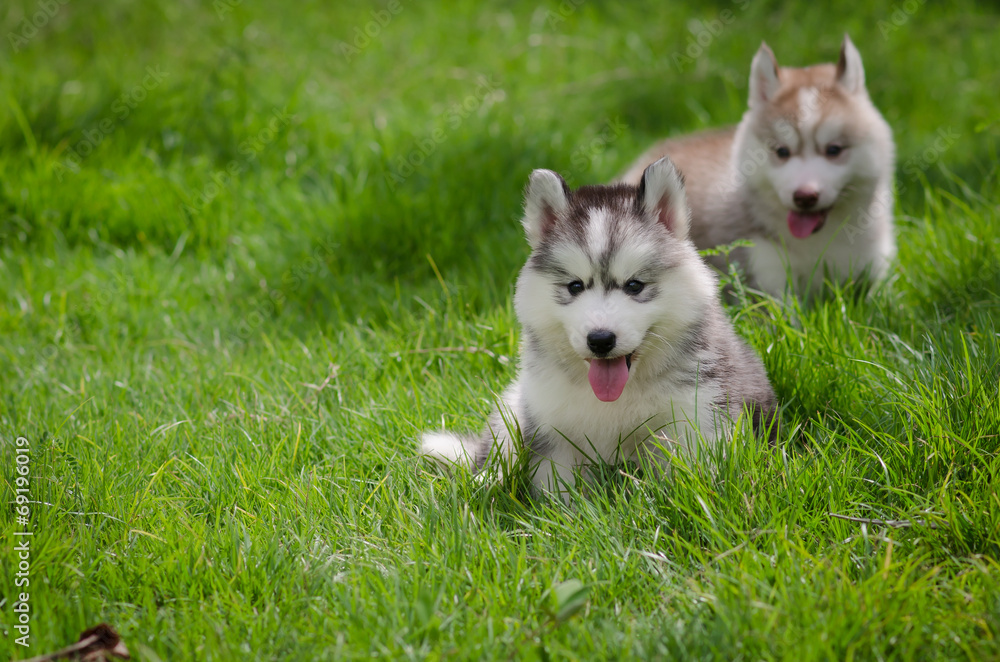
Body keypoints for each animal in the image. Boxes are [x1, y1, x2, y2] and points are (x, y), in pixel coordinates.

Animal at [418, 158, 776, 496]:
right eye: (575, 286)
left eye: (634, 285)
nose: (601, 340)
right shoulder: (552, 432)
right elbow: (557, 494)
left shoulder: (697, 417)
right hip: (516, 402)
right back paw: (487, 480)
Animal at [620, 35, 896, 296]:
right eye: (782, 151)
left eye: (834, 150)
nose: (805, 197)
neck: (815, 243)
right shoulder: (763, 272)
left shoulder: (869, 269)